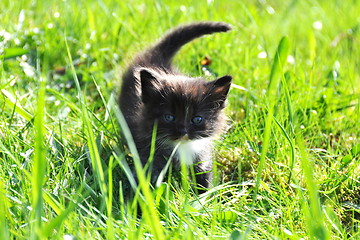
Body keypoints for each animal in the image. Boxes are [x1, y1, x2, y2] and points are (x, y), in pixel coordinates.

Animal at [118, 21, 231, 192]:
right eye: (169, 117)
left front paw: (204, 196)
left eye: (197, 119)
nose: (183, 131)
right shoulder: (149, 152)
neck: (182, 145)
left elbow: (203, 177)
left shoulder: (202, 156)